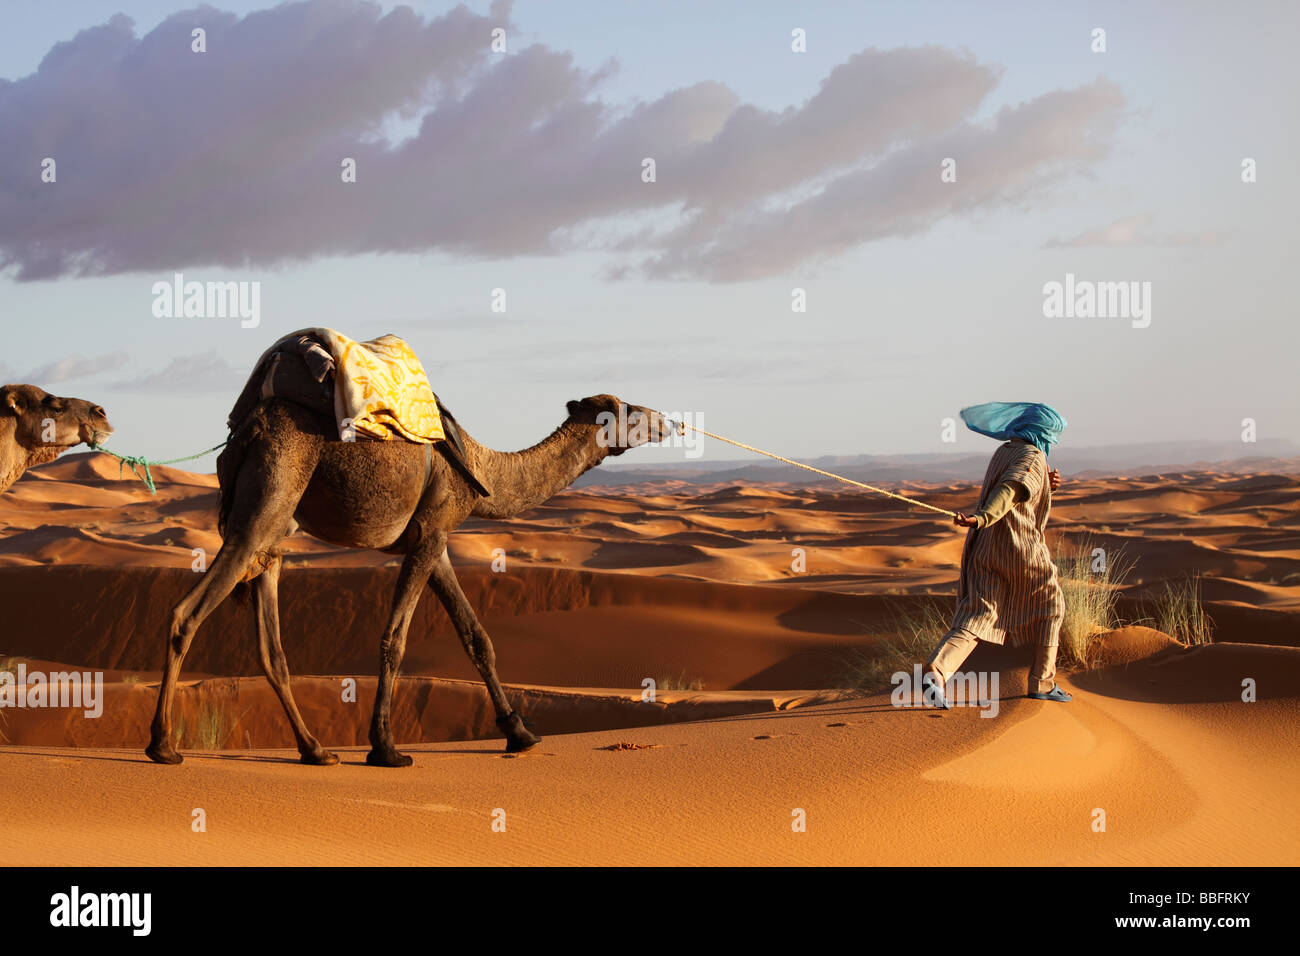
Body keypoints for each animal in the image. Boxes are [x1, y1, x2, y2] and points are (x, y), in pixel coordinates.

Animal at [147, 356, 665, 764]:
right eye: (625, 409)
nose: (664, 419)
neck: (480, 467)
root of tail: (248, 430)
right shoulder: (431, 534)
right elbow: (394, 639)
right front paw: (386, 748)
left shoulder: (433, 541)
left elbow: (476, 636)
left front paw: (520, 733)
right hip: (264, 503)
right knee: (185, 613)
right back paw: (163, 746)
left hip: (273, 532)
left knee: (271, 647)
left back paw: (316, 750)